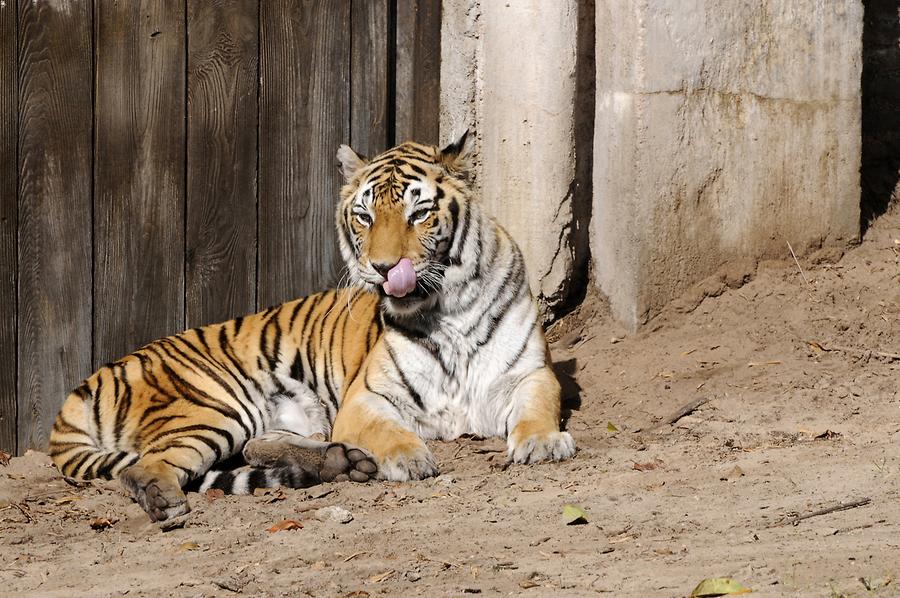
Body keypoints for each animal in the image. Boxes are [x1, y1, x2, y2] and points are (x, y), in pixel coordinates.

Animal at [47, 132, 576, 524]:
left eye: (419, 212)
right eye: (364, 216)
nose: (383, 268)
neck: (446, 309)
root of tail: (88, 382)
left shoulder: (530, 373)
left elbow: (537, 408)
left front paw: (544, 443)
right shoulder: (368, 397)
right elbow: (389, 431)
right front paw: (409, 457)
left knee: (257, 446)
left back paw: (340, 462)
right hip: (214, 405)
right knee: (144, 467)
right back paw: (165, 501)